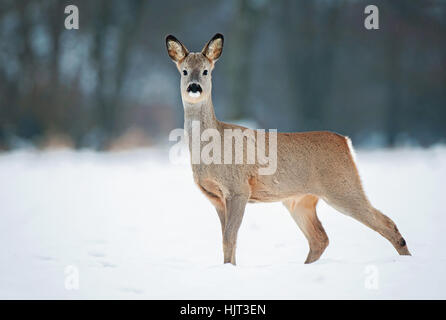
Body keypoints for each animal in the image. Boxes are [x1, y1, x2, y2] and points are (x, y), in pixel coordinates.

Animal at [166, 32, 412, 264]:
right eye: (184, 71)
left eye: (206, 71)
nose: (194, 87)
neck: (211, 149)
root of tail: (345, 142)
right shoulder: (215, 197)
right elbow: (227, 239)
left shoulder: (238, 188)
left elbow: (230, 238)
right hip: (301, 200)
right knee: (320, 238)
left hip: (343, 186)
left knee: (387, 223)